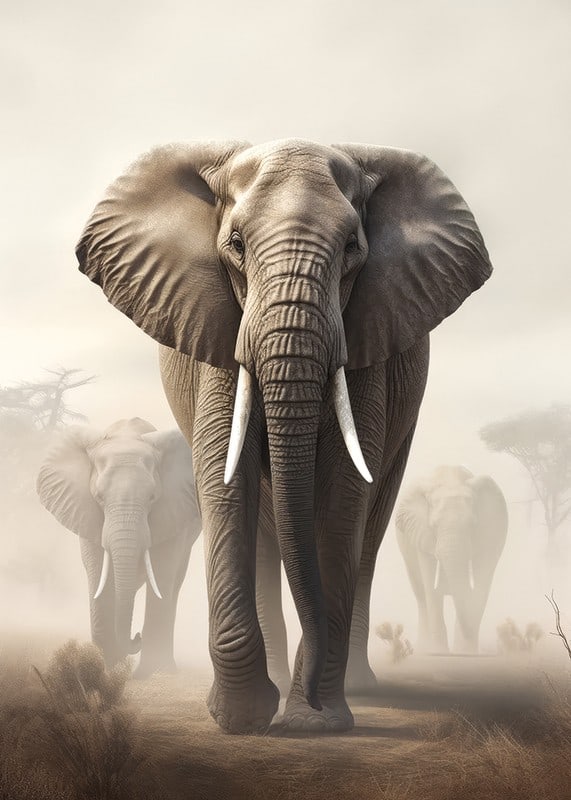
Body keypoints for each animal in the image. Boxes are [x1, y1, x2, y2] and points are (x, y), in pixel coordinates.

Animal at [37, 417, 201, 676]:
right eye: (99, 497)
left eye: (152, 497)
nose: (137, 637)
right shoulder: (85, 511)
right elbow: (98, 573)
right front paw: (105, 670)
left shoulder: (173, 511)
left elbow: (162, 570)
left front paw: (151, 673)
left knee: (174, 581)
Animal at [75, 138, 492, 733]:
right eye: (235, 245)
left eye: (352, 248)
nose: (312, 706)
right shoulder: (219, 329)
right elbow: (225, 479)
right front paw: (243, 719)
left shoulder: (367, 340)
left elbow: (344, 495)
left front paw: (318, 722)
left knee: (369, 531)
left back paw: (356, 689)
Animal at [395, 465, 508, 654]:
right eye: (433, 526)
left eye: (472, 525)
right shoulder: (420, 532)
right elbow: (429, 583)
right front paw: (438, 653)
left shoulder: (490, 532)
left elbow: (482, 582)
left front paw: (467, 653)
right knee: (421, 595)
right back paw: (425, 648)